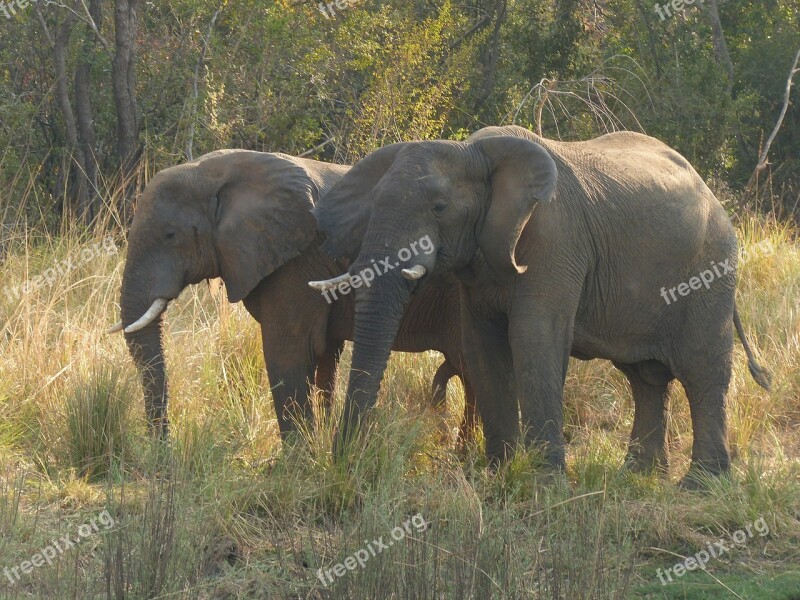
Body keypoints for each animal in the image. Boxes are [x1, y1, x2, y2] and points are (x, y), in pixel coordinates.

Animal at [106, 150, 476, 440]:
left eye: (170, 235)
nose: (163, 452)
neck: (215, 170)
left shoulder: (299, 259)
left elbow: (289, 351)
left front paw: (297, 466)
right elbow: (326, 354)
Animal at [310, 124, 768, 486]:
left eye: (439, 208)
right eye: (373, 208)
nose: (347, 464)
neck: (474, 151)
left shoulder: (555, 241)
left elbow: (535, 339)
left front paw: (544, 485)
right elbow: (482, 346)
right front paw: (499, 475)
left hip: (710, 274)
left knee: (701, 371)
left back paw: (701, 485)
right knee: (645, 378)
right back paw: (638, 477)